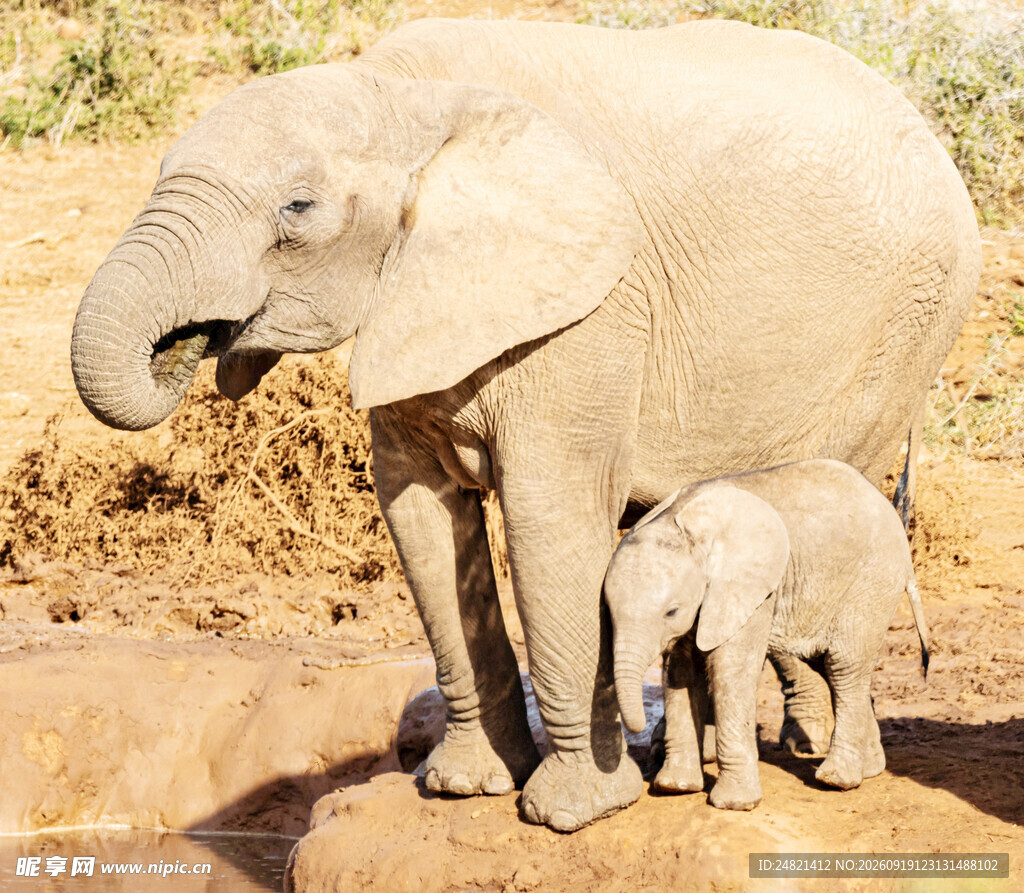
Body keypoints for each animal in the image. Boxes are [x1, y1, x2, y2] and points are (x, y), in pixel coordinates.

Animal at [604, 459, 931, 810]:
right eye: (608, 611)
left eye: (671, 611)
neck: (682, 524)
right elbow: (681, 670)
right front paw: (675, 787)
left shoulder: (751, 589)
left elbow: (731, 668)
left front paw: (734, 804)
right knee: (828, 665)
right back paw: (869, 769)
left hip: (873, 581)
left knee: (844, 666)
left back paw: (836, 780)